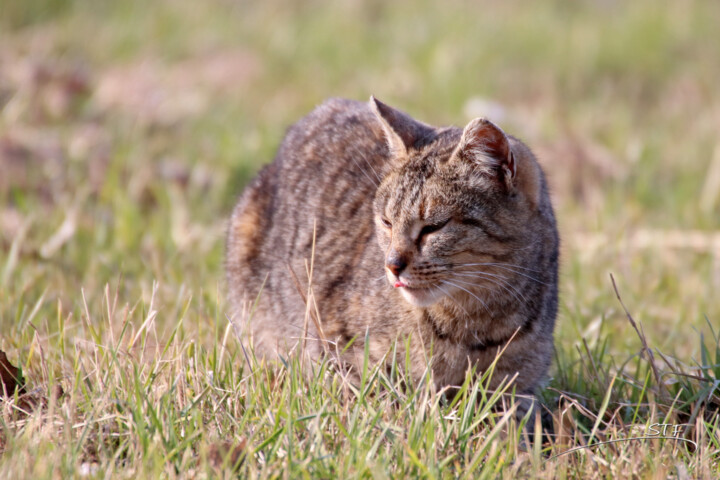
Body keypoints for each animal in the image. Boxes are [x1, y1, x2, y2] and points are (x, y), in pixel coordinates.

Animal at [225, 95, 556, 400]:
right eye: (386, 222)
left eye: (433, 227)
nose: (392, 265)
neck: (475, 322)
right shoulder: (337, 350)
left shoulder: (517, 390)